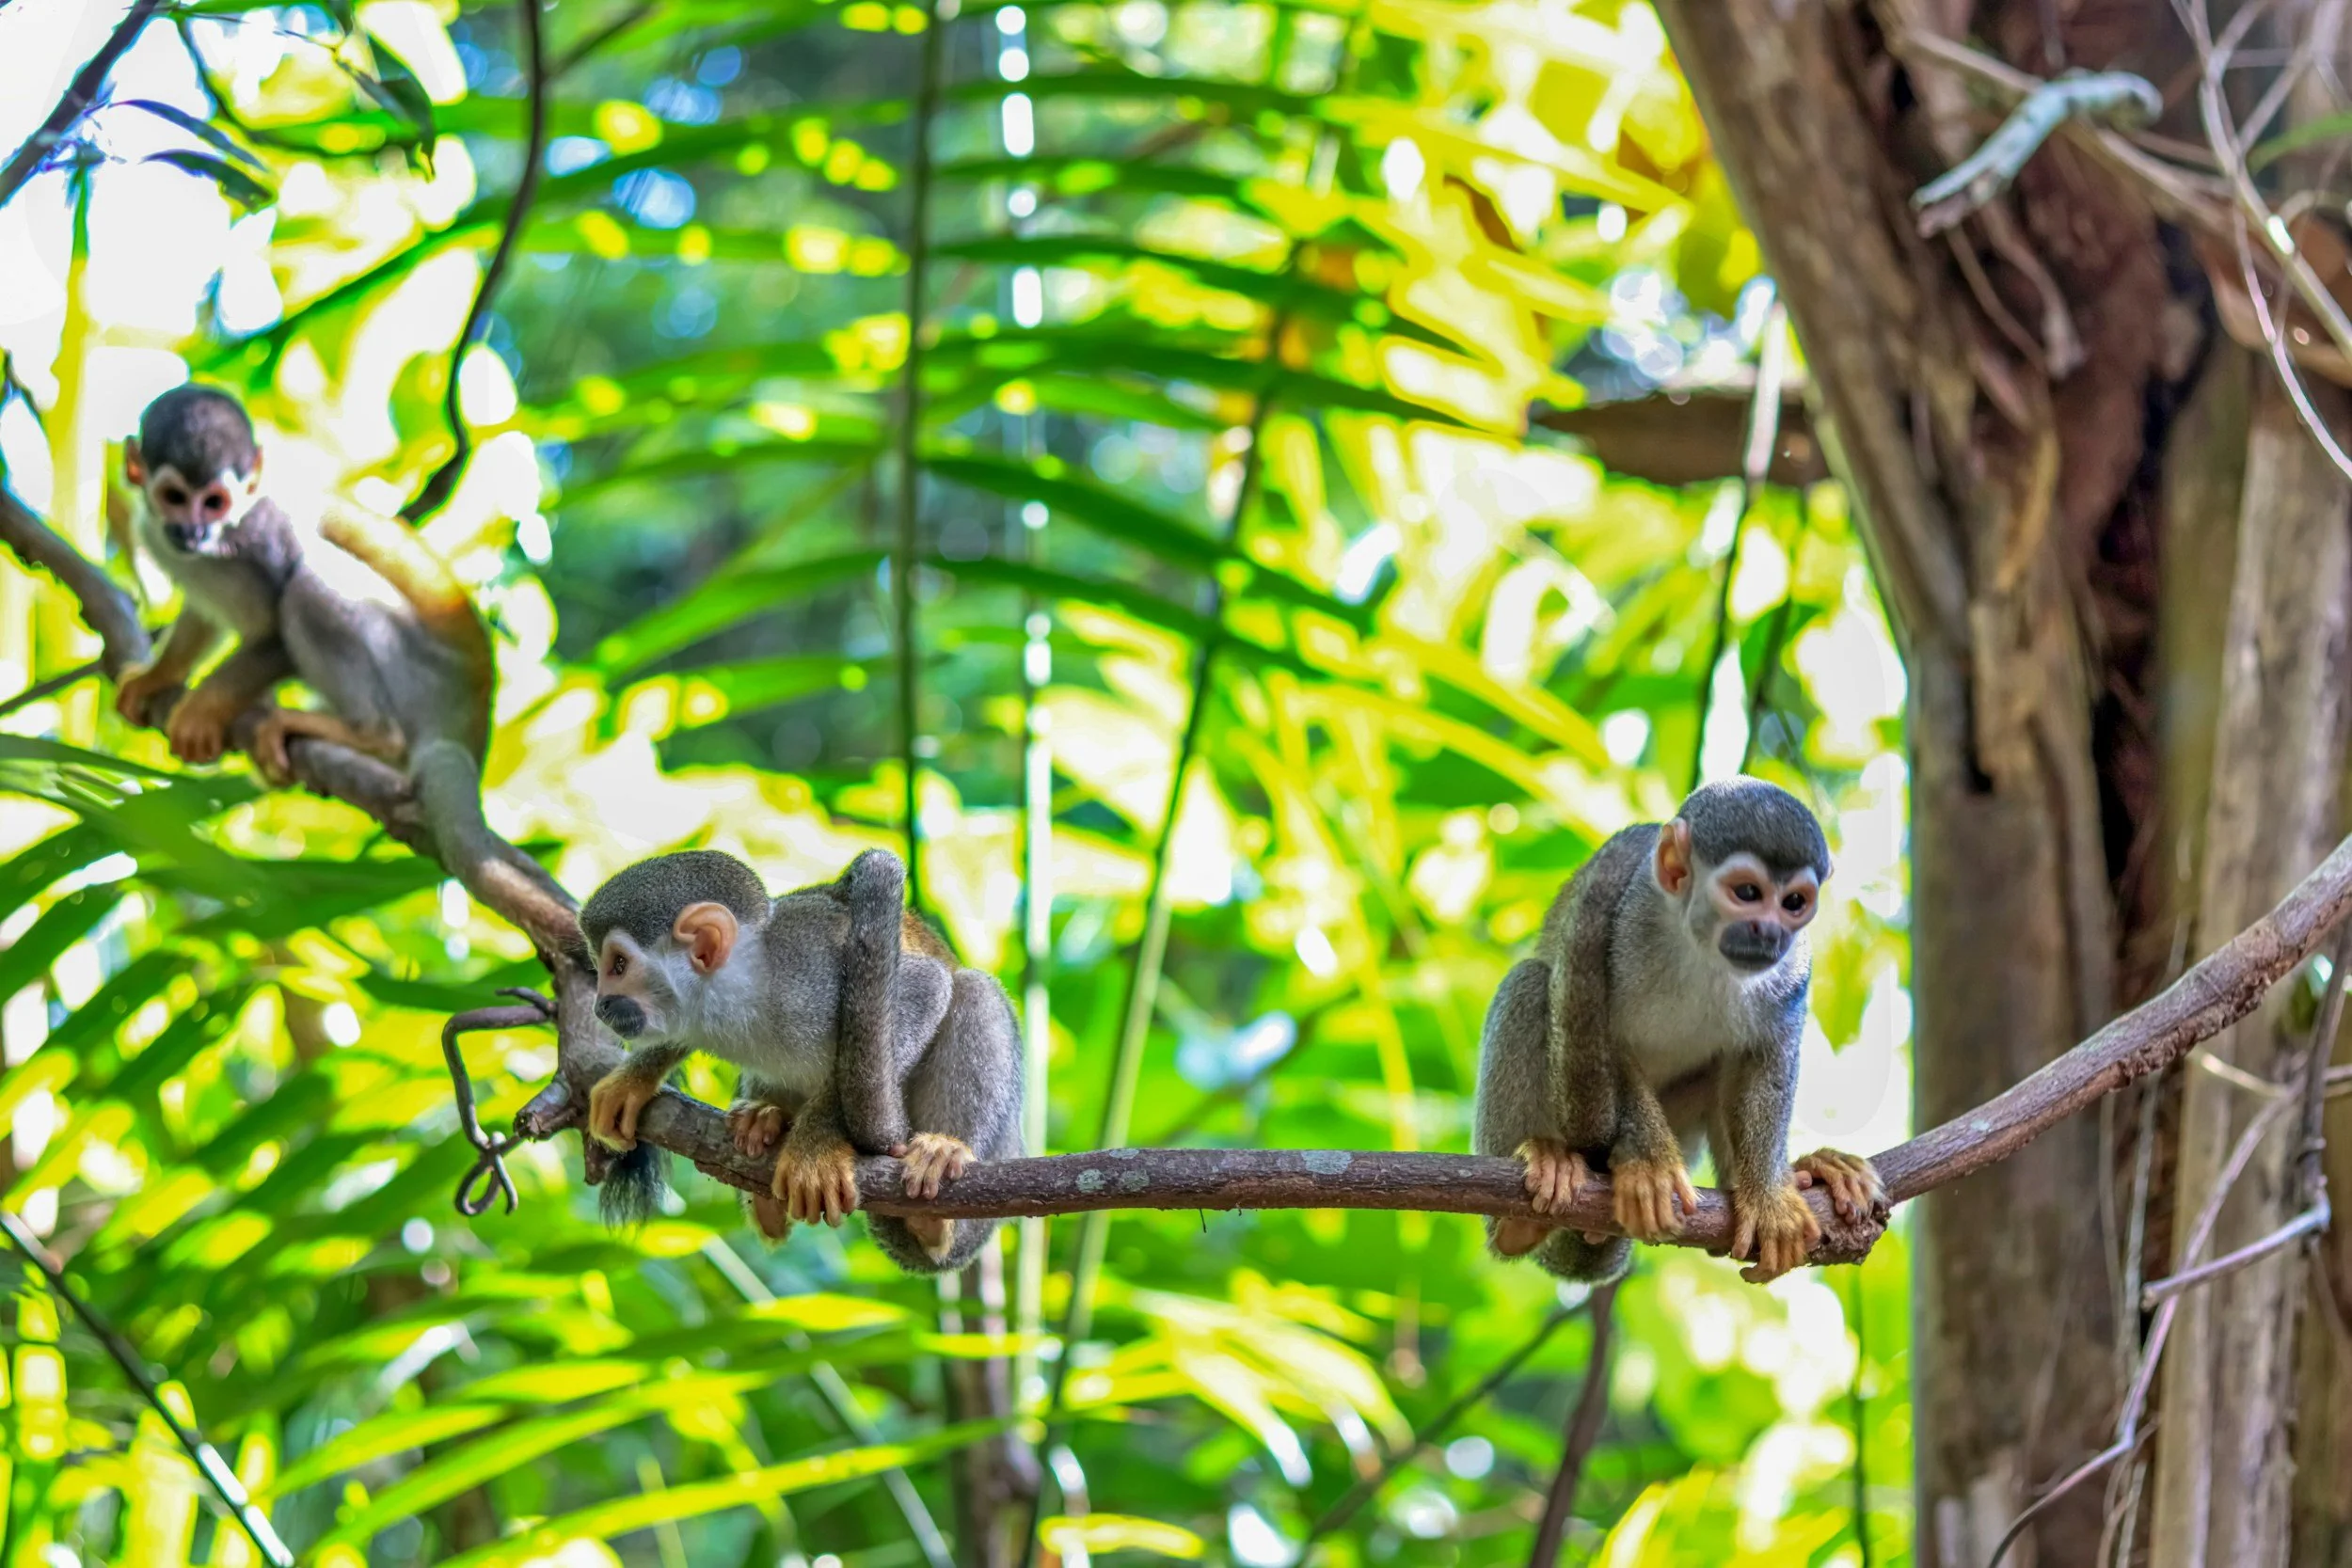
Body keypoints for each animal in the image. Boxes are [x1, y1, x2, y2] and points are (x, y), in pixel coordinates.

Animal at [576, 846, 1022, 1274]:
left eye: (619, 965)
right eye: (603, 967)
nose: (600, 1006)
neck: (741, 991)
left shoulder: (810, 977)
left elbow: (926, 987)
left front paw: (817, 1144)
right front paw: (633, 1080)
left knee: (975, 992)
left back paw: (937, 1187)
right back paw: (766, 1135)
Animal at [1473, 777, 1886, 1285]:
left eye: (1793, 903)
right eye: (1747, 892)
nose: (1769, 932)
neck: (1701, 946)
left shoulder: (1797, 964)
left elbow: (1764, 1058)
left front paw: (1768, 1197)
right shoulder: (1629, 924)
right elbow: (1613, 1041)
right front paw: (1650, 1162)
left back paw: (1799, 1175)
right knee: (1530, 985)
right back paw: (1519, 1217)